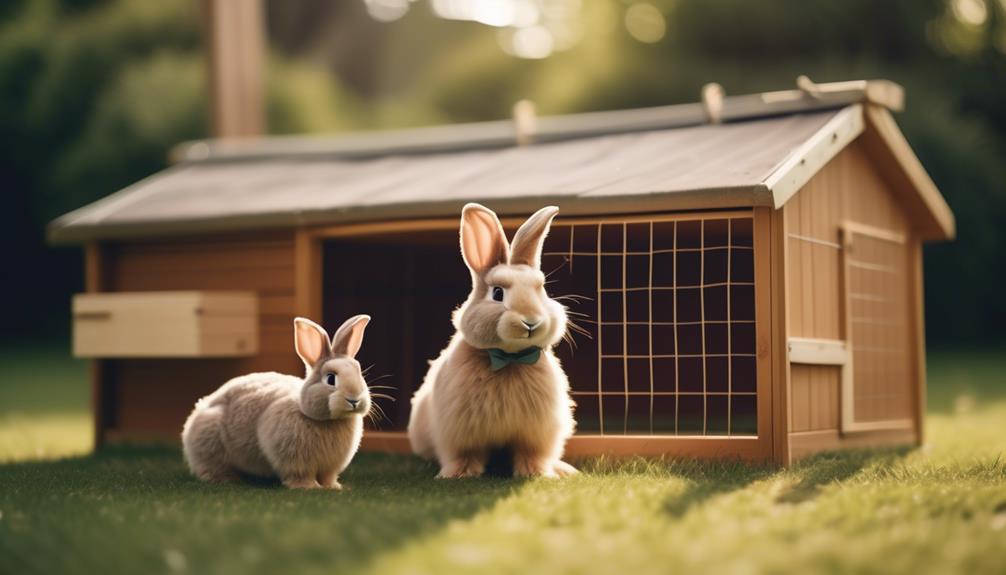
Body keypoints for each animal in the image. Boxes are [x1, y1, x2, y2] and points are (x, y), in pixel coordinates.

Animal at [180, 313, 370, 490]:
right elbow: (301, 474)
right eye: (331, 379)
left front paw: (334, 487)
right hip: (209, 442)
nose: (354, 399)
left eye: (359, 372)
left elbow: (327, 477)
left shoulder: (329, 466)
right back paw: (225, 479)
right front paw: (308, 487)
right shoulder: (295, 460)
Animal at [408, 204, 579, 478]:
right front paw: (458, 474)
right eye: (498, 293)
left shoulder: (535, 434)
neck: (509, 358)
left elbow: (532, 455)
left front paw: (537, 474)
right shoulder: (462, 432)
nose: (531, 321)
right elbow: (465, 454)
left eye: (540, 289)